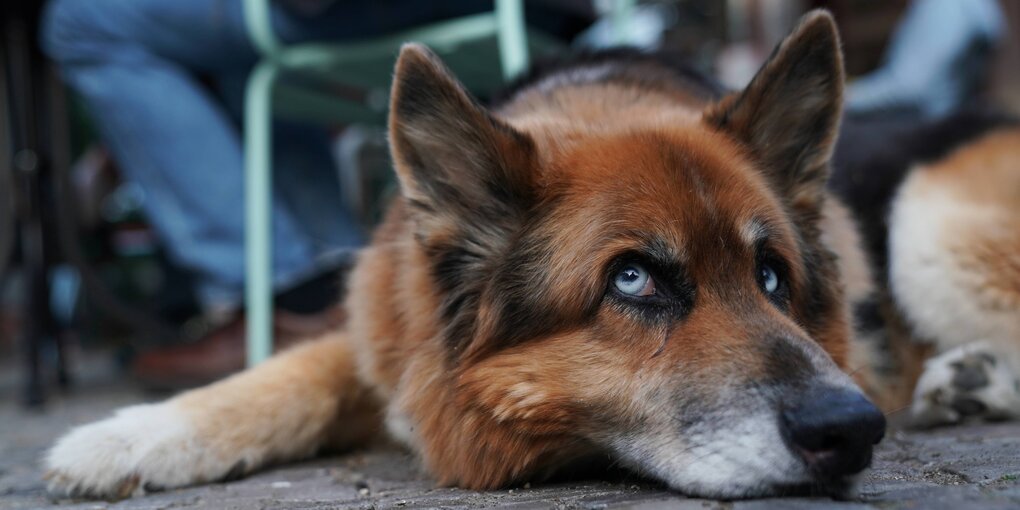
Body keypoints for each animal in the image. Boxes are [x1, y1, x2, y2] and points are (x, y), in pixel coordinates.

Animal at [41, 9, 1020, 499]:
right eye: (633, 277)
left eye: (773, 276)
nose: (852, 429)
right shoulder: (391, 335)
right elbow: (285, 376)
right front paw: (126, 436)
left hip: (928, 222)